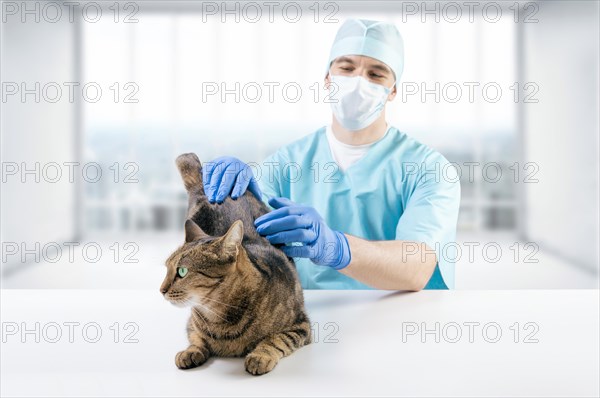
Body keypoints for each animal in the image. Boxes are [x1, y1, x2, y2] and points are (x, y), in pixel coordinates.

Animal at [161, 152, 310, 376]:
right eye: (167, 269)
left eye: (182, 271)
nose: (161, 290)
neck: (218, 318)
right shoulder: (191, 324)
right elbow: (196, 337)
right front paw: (190, 351)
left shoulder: (300, 325)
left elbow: (277, 339)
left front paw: (260, 356)